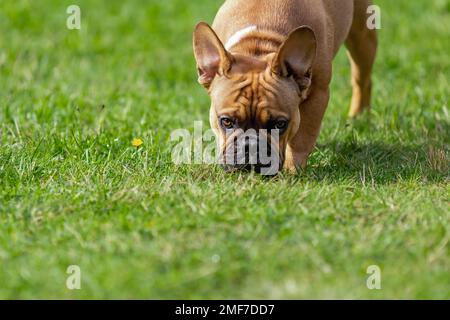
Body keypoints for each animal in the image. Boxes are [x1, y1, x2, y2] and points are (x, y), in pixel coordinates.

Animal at [192, 0, 376, 174]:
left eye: (280, 124)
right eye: (226, 121)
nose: (252, 145)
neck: (259, 43)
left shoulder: (318, 93)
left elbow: (302, 137)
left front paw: (293, 169)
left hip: (362, 35)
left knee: (362, 79)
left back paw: (359, 114)